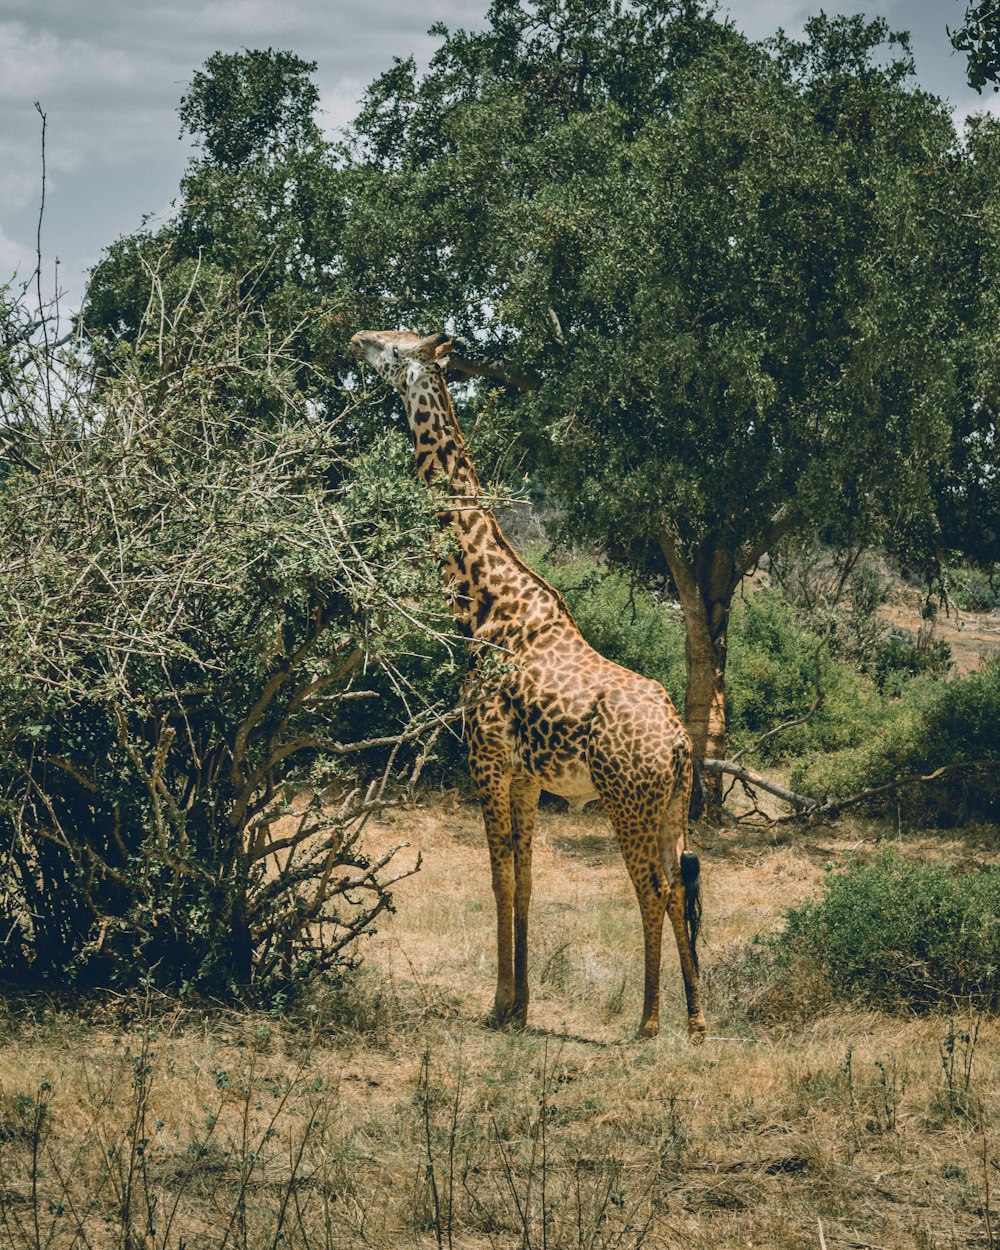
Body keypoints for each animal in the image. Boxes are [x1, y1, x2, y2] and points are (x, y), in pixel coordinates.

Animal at [347, 327, 705, 1040]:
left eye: (395, 349)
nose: (354, 338)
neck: (482, 600)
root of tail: (680, 744)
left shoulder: (484, 757)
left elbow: (498, 878)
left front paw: (497, 1004)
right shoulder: (525, 776)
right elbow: (528, 879)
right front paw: (522, 1006)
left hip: (628, 801)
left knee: (650, 889)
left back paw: (650, 1021)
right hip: (671, 805)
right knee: (679, 886)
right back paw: (699, 1020)